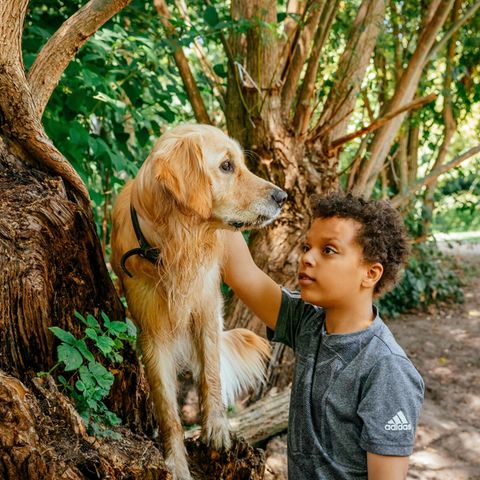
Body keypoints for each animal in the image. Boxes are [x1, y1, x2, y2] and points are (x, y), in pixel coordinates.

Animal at [110, 124, 286, 480]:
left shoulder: (206, 307)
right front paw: (176, 465)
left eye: (239, 163)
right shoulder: (152, 334)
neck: (173, 243)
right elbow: (168, 409)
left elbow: (211, 372)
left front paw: (216, 426)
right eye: (226, 166)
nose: (282, 197)